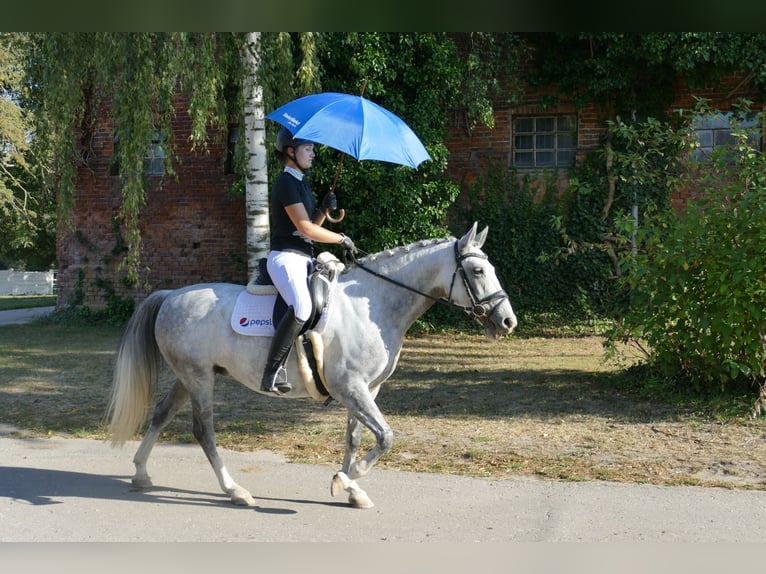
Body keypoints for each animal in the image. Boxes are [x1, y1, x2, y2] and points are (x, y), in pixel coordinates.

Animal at [106, 225, 516, 508]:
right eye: (478, 272)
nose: (508, 321)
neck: (374, 304)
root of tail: (170, 296)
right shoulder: (351, 388)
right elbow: (385, 436)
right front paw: (350, 480)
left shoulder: (366, 389)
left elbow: (356, 438)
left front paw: (349, 488)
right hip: (198, 377)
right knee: (203, 431)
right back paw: (235, 491)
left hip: (189, 377)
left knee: (161, 415)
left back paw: (141, 473)